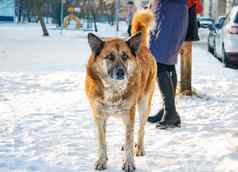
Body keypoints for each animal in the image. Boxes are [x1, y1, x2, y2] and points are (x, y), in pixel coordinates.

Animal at [85, 9, 156, 172]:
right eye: (110, 57)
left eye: (125, 56)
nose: (121, 73)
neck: (113, 90)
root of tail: (141, 46)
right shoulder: (99, 116)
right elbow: (102, 141)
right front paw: (102, 160)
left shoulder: (129, 114)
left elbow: (130, 140)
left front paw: (129, 163)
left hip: (143, 105)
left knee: (140, 129)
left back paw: (139, 147)